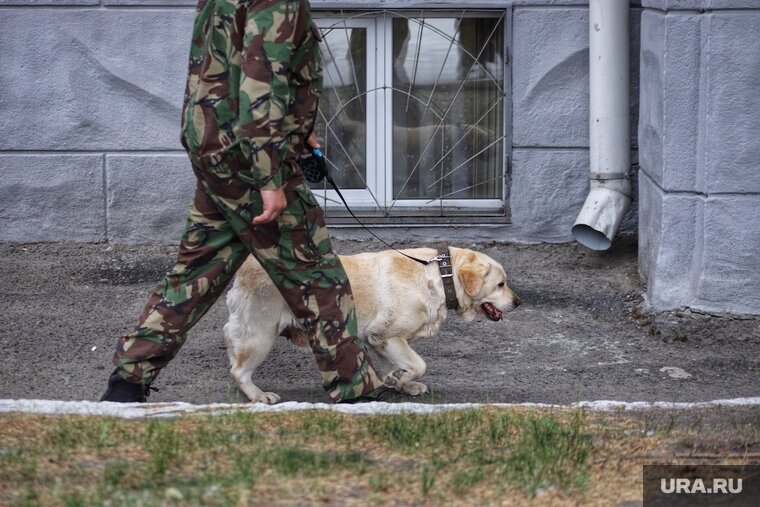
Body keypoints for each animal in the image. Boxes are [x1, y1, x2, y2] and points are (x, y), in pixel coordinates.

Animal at [223, 247, 520, 404]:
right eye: (501, 284)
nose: (518, 302)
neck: (440, 275)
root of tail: (246, 266)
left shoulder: (384, 341)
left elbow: (400, 365)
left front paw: (401, 382)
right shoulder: (386, 336)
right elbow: (419, 364)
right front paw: (400, 380)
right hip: (261, 334)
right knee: (239, 370)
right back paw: (258, 395)